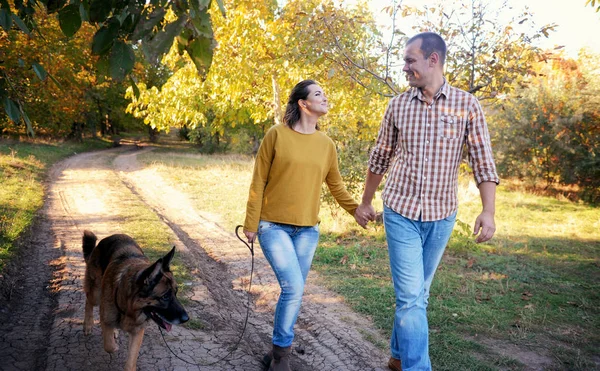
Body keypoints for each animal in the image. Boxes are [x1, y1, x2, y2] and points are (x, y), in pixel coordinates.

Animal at [82, 231, 189, 370]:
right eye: (165, 296)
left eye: (176, 293)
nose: (186, 319)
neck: (129, 308)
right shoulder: (106, 320)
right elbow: (109, 345)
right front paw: (114, 346)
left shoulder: (137, 333)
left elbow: (130, 362)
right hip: (96, 293)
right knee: (88, 301)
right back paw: (88, 325)